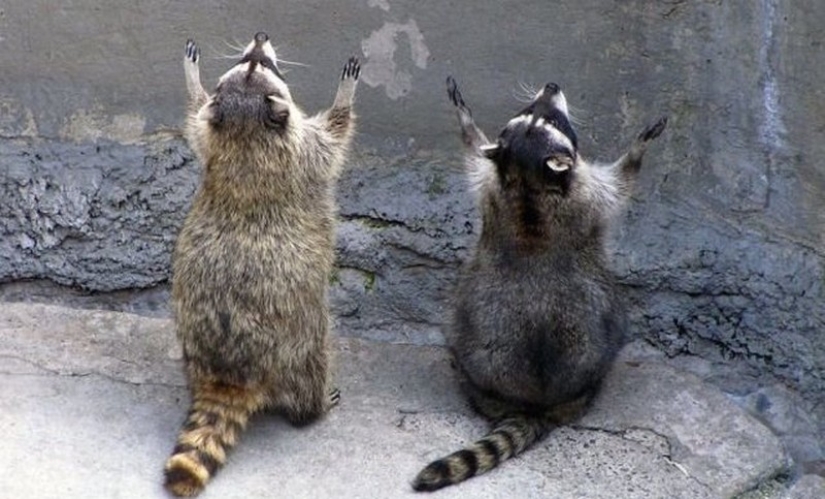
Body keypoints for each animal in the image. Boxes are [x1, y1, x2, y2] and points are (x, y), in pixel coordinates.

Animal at [163, 33, 360, 497]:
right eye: (261, 64)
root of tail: (230, 371)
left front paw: (193, 80)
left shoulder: (214, 139)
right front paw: (345, 93)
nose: (259, 38)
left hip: (190, 342)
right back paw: (313, 408)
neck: (245, 133)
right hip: (300, 340)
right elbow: (336, 134)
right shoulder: (306, 149)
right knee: (312, 365)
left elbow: (196, 121)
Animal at [412, 77, 667, 492]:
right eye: (549, 119)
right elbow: (622, 180)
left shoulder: (497, 186)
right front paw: (639, 147)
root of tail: (534, 404)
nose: (551, 85)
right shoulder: (587, 192)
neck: (527, 179)